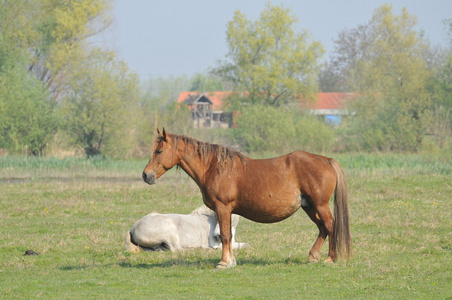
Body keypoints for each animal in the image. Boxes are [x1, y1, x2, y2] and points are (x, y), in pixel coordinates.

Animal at [143, 127, 352, 268]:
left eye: (159, 151)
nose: (146, 175)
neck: (214, 167)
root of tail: (326, 160)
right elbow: (228, 236)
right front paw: (230, 261)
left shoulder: (223, 208)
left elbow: (225, 236)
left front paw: (224, 263)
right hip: (309, 206)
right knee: (322, 228)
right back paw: (313, 256)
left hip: (320, 205)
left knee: (330, 225)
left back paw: (330, 258)